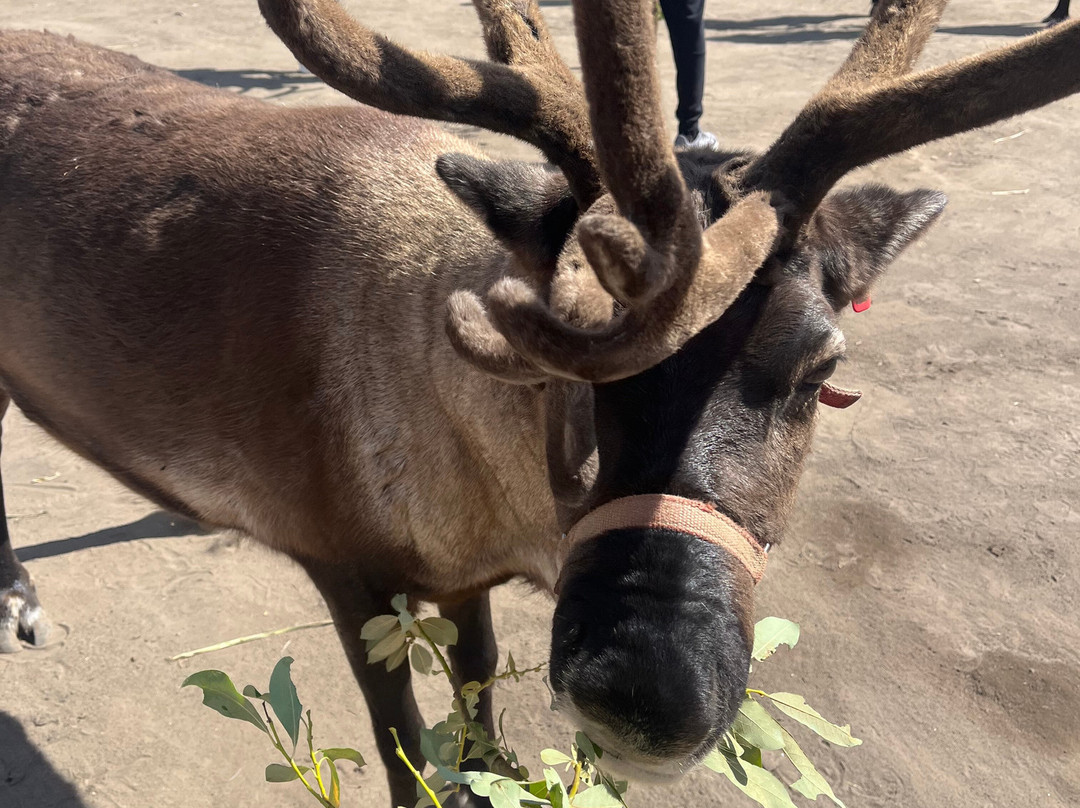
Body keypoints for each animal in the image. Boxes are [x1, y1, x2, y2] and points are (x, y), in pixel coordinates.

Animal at [1, 0, 1079, 805]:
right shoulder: (341, 561)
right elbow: (405, 752)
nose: (642, 698)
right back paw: (21, 600)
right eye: (566, 365)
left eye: (824, 369)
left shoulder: (460, 577)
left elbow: (479, 707)